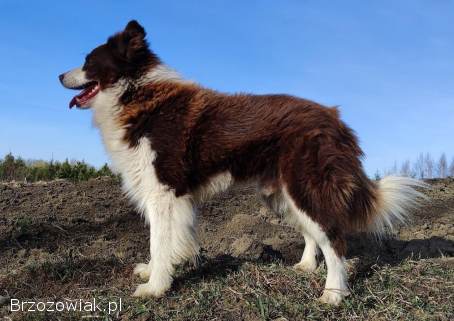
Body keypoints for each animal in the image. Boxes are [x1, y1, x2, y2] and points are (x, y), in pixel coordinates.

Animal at [58, 20, 424, 304]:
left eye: (88, 61)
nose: (59, 75)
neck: (137, 93)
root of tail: (335, 118)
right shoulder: (169, 195)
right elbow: (166, 239)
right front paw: (156, 271)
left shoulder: (164, 192)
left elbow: (158, 240)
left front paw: (155, 286)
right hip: (281, 193)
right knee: (313, 235)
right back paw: (306, 267)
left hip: (305, 185)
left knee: (333, 238)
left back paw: (333, 293)